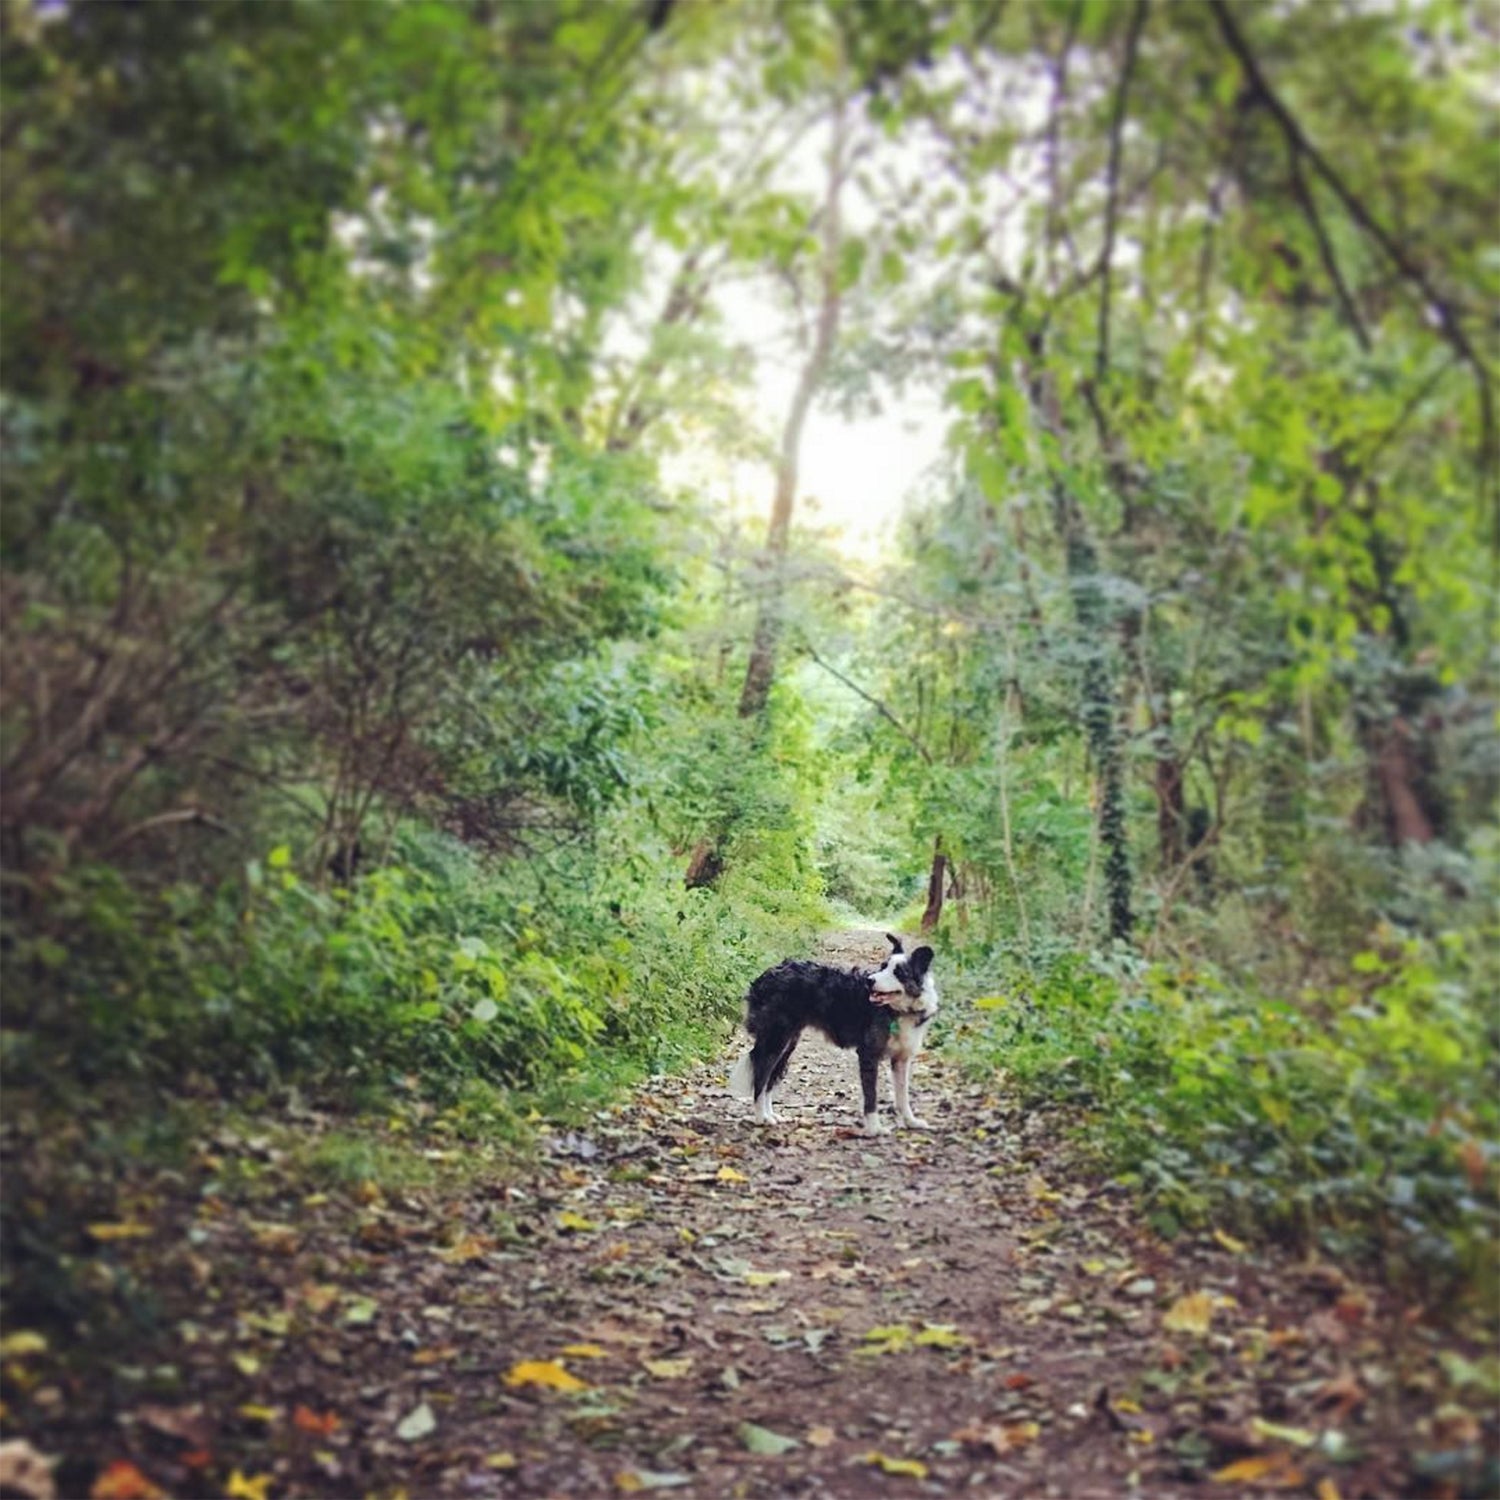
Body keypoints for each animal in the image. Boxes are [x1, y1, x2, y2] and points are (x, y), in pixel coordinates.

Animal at [726, 930, 936, 1128]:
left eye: (898, 973)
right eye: (883, 967)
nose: (869, 981)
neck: (899, 1011)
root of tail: (766, 975)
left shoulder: (901, 1060)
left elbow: (903, 1097)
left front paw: (911, 1122)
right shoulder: (868, 1054)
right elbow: (871, 1097)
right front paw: (875, 1128)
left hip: (787, 1043)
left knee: (770, 1079)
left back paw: (770, 1114)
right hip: (775, 1040)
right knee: (761, 1078)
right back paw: (760, 1117)